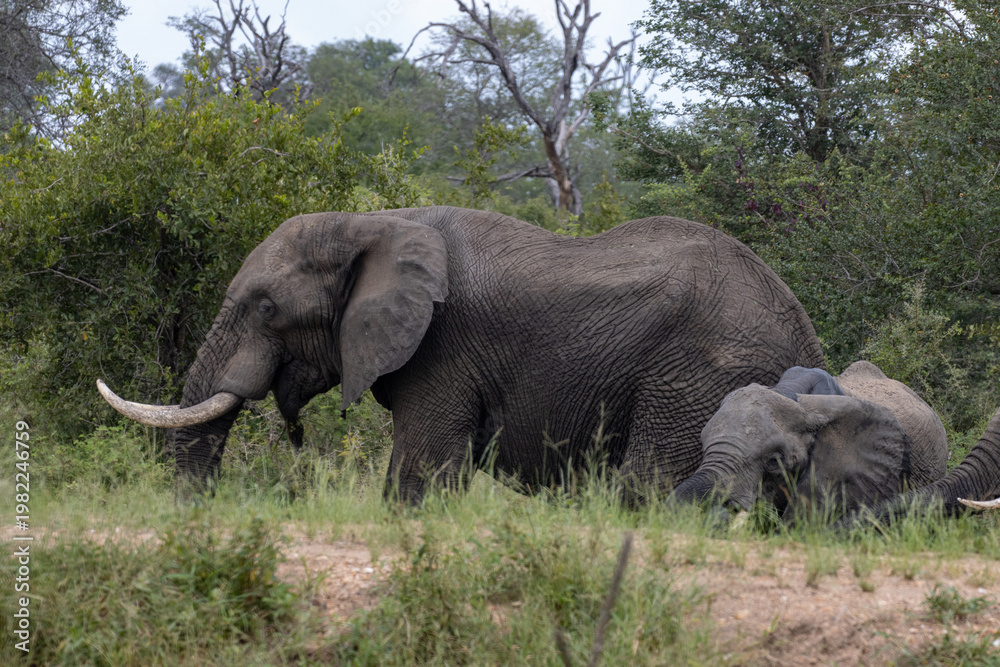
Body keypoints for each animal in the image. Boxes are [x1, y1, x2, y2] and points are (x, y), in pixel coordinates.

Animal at [97, 206, 824, 504]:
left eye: (267, 308)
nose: (199, 511)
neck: (373, 222)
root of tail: (807, 337)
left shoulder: (444, 349)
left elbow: (420, 474)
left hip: (697, 375)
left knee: (645, 480)